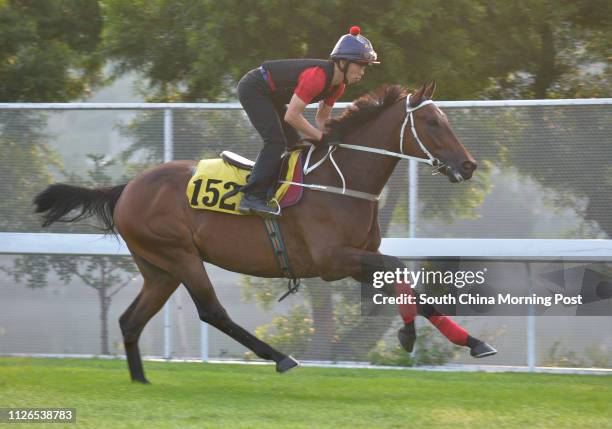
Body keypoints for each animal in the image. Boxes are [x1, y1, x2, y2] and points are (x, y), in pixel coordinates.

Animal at [34, 82, 498, 382]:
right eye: (432, 122)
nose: (469, 164)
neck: (342, 181)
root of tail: (127, 187)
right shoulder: (334, 261)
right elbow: (401, 268)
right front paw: (407, 334)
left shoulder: (356, 261)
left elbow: (411, 285)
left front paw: (473, 342)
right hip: (179, 255)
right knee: (212, 311)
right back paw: (280, 357)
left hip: (158, 268)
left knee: (131, 321)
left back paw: (141, 382)